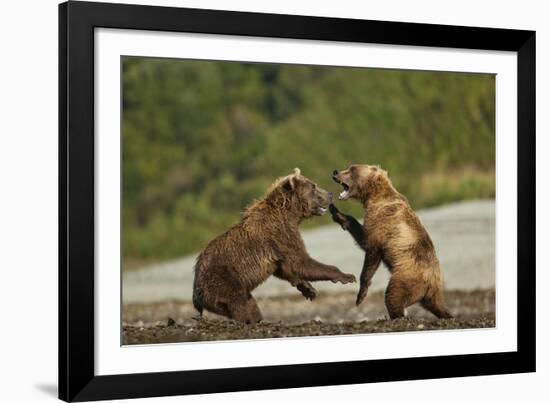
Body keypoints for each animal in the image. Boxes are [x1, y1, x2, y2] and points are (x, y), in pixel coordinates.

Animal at [193, 169, 358, 324]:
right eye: (313, 187)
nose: (330, 194)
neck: (290, 215)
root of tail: (196, 295)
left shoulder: (278, 246)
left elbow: (286, 268)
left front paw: (308, 289)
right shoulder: (281, 235)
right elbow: (300, 262)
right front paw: (347, 276)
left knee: (251, 305)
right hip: (224, 281)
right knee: (239, 304)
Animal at [332, 164, 452, 318]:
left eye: (352, 169)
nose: (335, 172)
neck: (373, 196)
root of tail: (433, 282)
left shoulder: (380, 223)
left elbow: (370, 250)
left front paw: (361, 295)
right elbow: (362, 234)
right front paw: (338, 214)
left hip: (406, 276)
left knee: (393, 295)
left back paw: (397, 315)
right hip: (431, 292)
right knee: (437, 306)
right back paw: (446, 314)